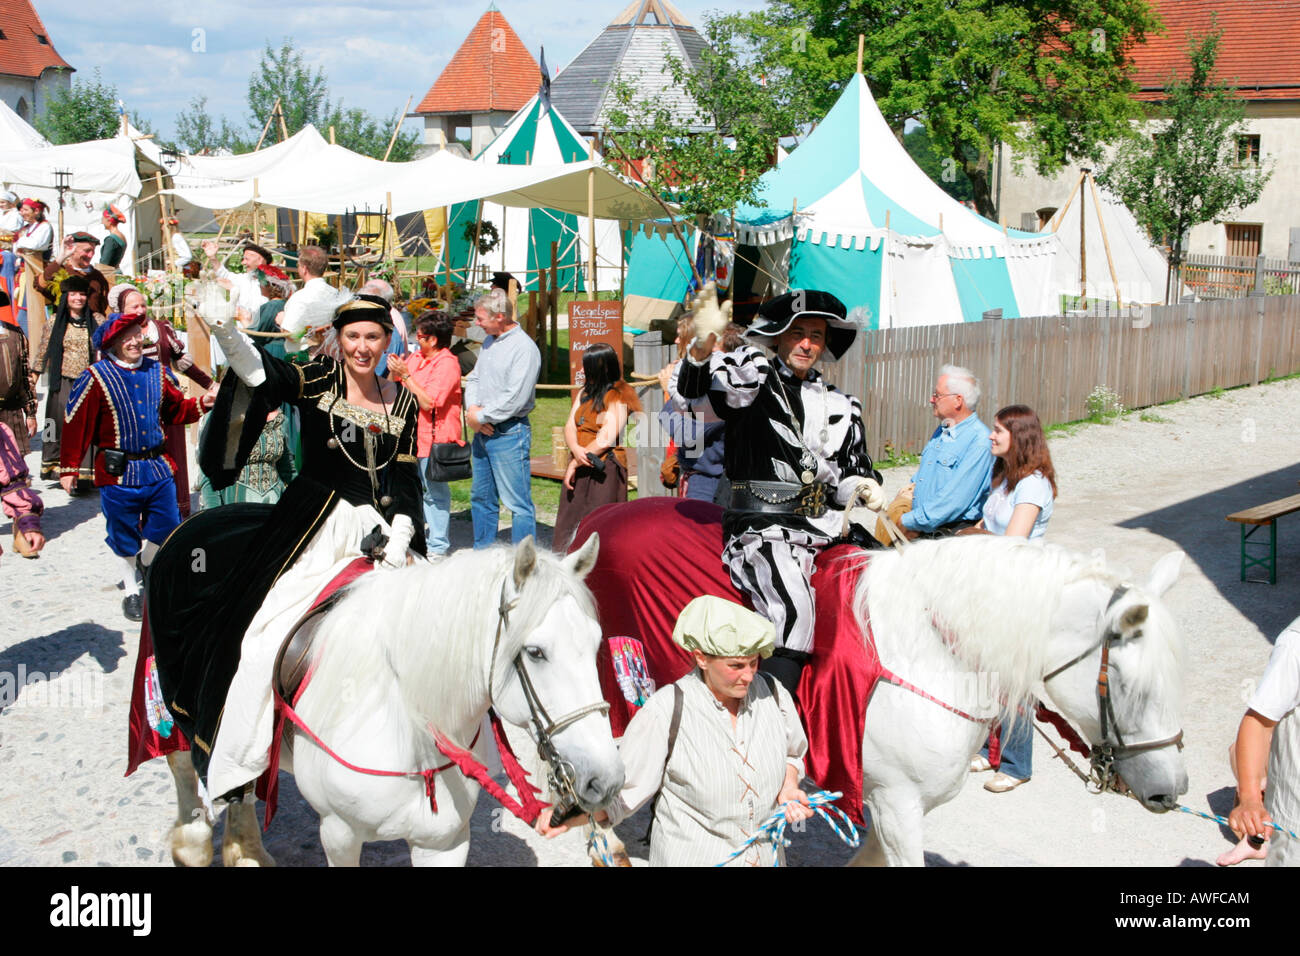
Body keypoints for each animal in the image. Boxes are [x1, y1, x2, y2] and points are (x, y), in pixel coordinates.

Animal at [167, 535, 624, 868]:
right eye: (535, 652)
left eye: (596, 643)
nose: (605, 780)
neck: (410, 731)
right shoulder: (338, 835)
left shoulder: (444, 844)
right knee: (189, 767)